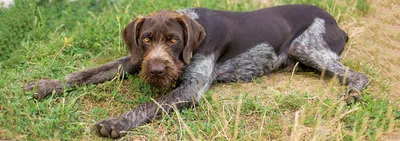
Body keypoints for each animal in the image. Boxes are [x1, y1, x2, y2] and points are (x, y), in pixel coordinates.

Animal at [24, 4, 368, 139]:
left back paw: (352, 94)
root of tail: (337, 23)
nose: (157, 68)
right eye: (146, 39)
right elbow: (86, 73)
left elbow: (148, 105)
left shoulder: (190, 88)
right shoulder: (135, 60)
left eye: (174, 40)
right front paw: (48, 85)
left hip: (307, 48)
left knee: (360, 76)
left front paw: (116, 122)